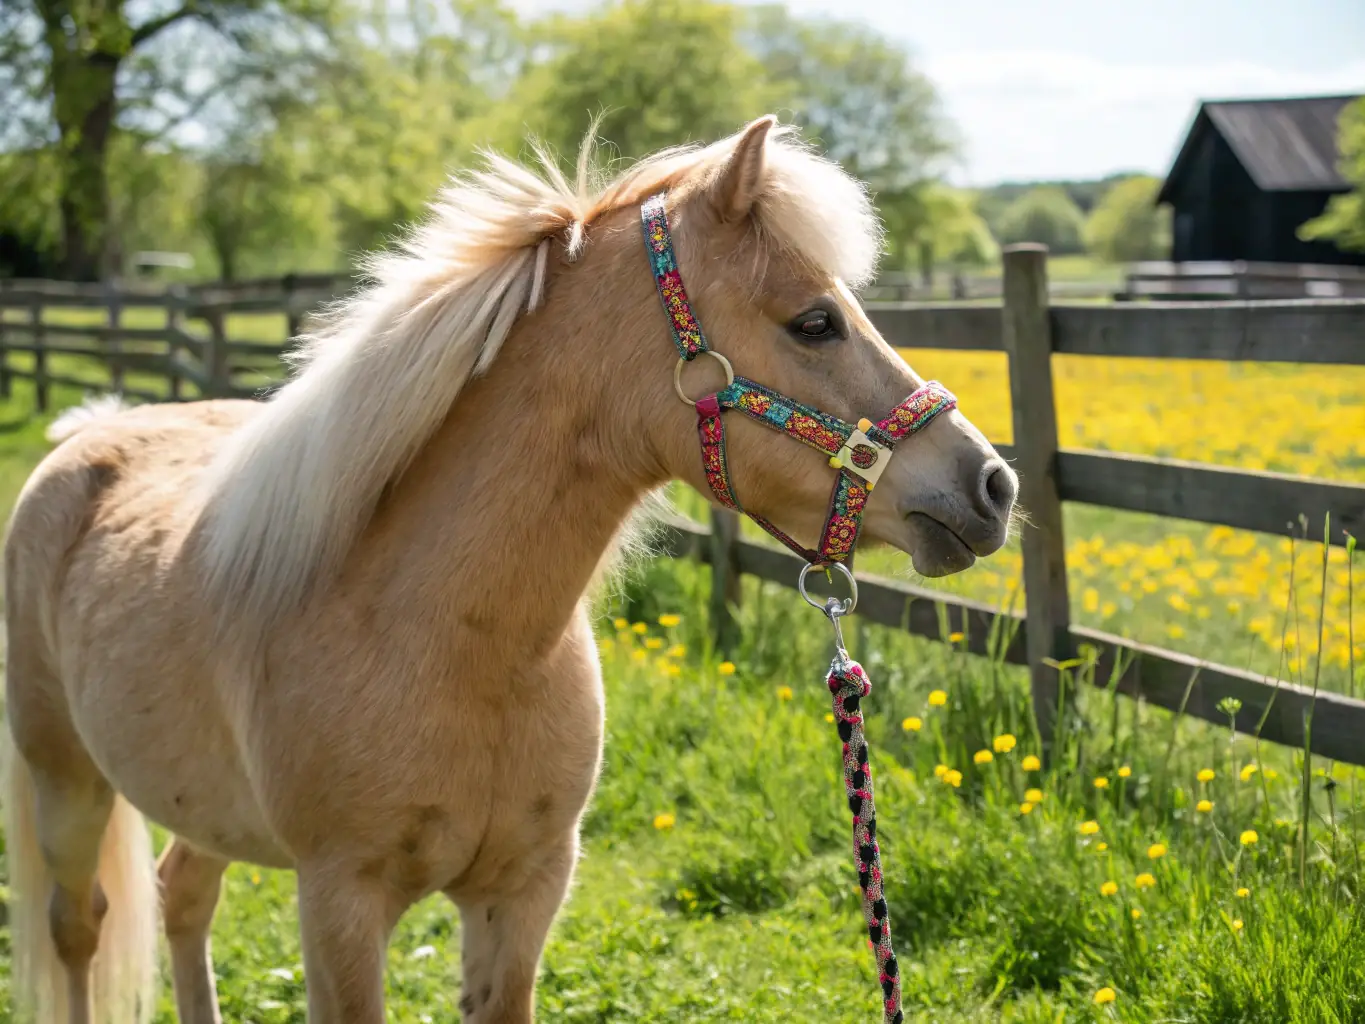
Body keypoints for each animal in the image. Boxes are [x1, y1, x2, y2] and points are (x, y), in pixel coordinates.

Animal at [1, 115, 1016, 1023]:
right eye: (813, 322)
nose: (992, 485)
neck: (446, 642)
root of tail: (83, 435)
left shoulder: (522, 895)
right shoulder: (339, 906)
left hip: (194, 802)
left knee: (182, 895)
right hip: (65, 781)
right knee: (78, 926)